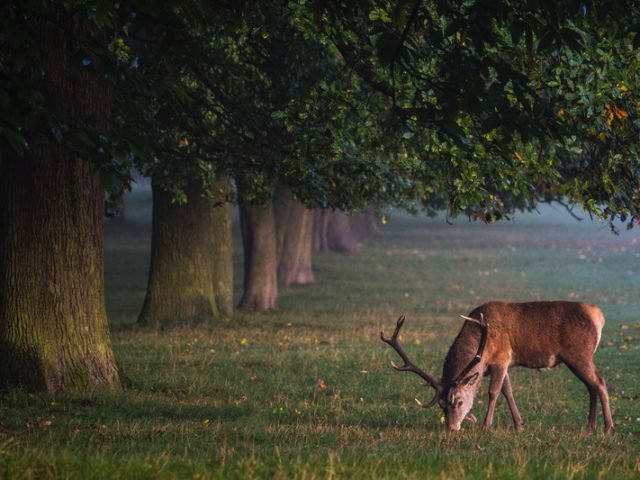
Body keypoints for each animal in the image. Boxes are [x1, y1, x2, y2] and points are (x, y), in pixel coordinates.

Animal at [382, 302, 612, 434]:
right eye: (441, 405)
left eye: (459, 401)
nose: (451, 428)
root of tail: (599, 316)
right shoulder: (500, 365)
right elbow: (507, 391)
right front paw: (519, 425)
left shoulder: (502, 357)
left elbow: (493, 392)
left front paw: (486, 425)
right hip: (575, 359)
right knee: (591, 386)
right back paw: (590, 426)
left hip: (580, 354)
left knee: (600, 382)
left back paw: (608, 427)